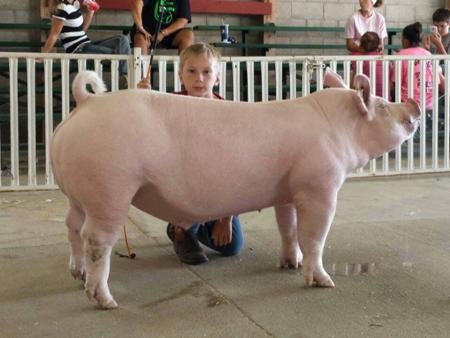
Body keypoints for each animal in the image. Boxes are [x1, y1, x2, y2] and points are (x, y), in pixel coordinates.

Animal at [51, 68, 420, 308]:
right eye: (383, 105)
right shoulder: (320, 188)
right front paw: (323, 281)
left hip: (78, 193)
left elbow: (288, 229)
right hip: (109, 189)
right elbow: (315, 237)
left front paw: (290, 264)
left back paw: (76, 274)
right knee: (96, 240)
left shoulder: (288, 191)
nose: (413, 103)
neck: (338, 127)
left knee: (71, 226)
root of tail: (86, 103)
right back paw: (105, 300)